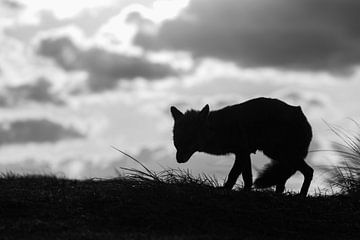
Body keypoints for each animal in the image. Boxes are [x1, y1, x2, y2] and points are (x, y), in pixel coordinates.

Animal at [170, 96, 314, 196]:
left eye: (189, 140)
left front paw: (225, 189)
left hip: (281, 154)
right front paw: (246, 191)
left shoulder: (242, 152)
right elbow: (247, 178)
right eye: (177, 141)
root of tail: (301, 114)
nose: (178, 159)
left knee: (309, 171)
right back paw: (279, 194)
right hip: (279, 156)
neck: (218, 130)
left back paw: (301, 195)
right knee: (284, 178)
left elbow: (233, 175)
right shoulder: (244, 153)